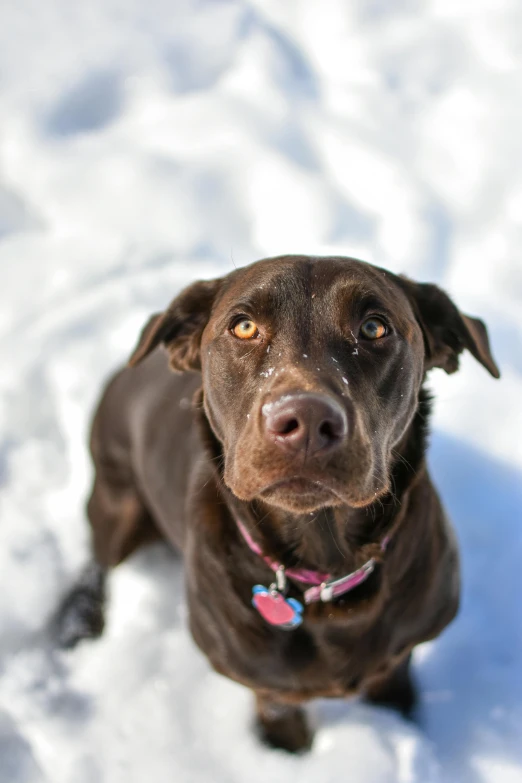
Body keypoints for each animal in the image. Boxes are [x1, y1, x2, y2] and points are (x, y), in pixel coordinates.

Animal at [54, 256, 498, 752]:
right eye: (244, 327)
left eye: (373, 327)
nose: (305, 420)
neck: (324, 568)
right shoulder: (265, 682)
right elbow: (280, 710)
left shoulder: (402, 649)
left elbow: (392, 680)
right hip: (117, 495)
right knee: (97, 562)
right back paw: (77, 622)